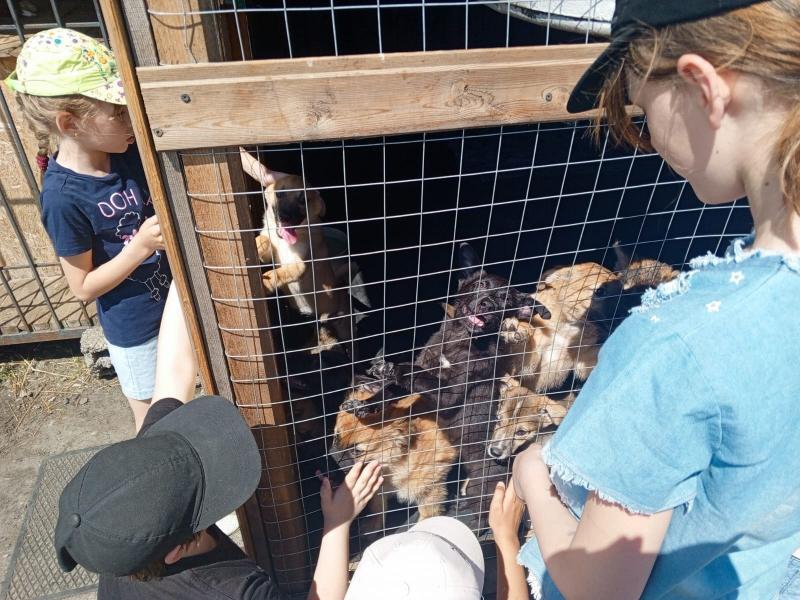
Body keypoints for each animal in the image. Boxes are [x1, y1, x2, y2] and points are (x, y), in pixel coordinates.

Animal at [500, 260, 620, 392]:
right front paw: (515, 329)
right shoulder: (525, 368)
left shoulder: (582, 360)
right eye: (600, 291)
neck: (566, 326)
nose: (622, 316)